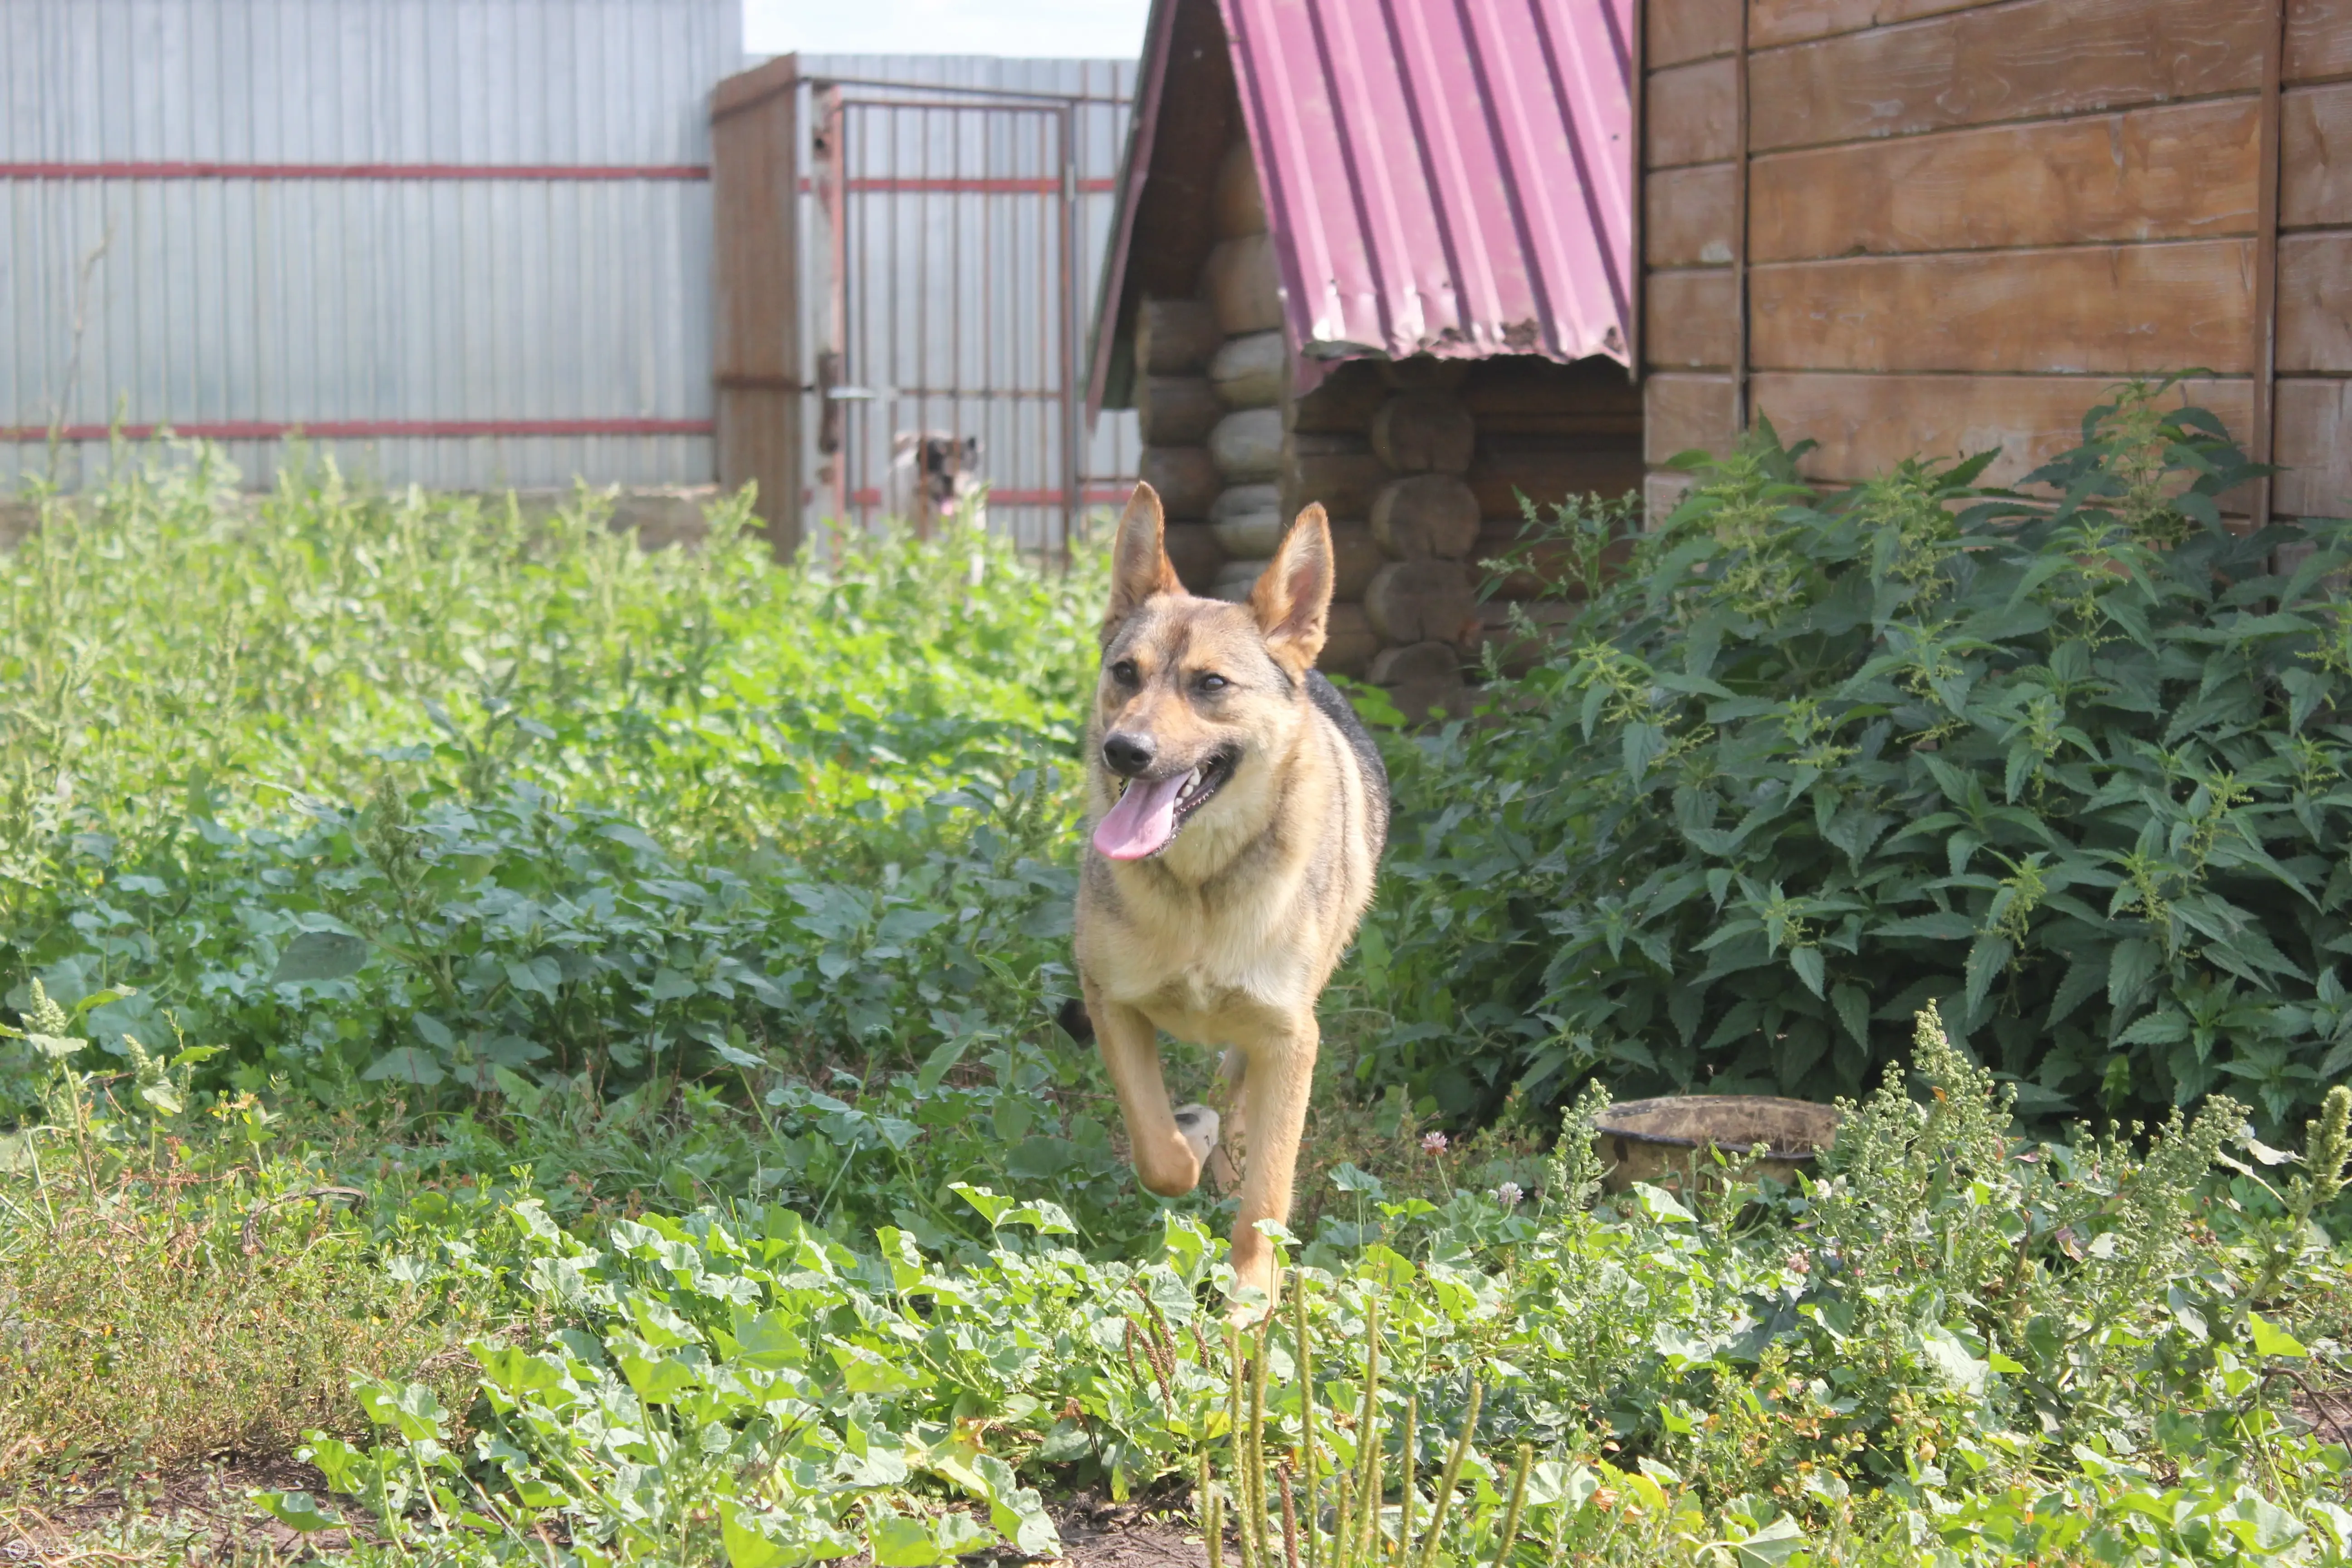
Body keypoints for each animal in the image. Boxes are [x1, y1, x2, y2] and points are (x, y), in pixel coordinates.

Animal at [1068, 482, 1373, 1316]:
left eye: (1211, 685)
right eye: (1125, 672)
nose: (1124, 752)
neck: (1200, 885)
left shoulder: (1289, 1035)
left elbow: (1267, 1189)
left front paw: (1249, 1295)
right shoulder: (1110, 1002)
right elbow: (1158, 1149)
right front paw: (1188, 1142)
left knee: (1246, 1105)